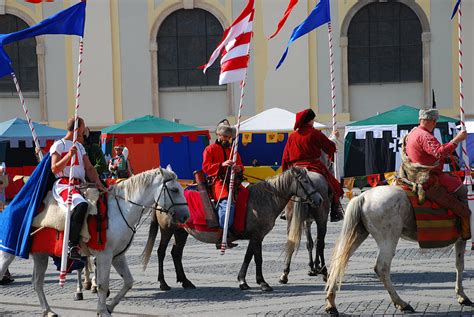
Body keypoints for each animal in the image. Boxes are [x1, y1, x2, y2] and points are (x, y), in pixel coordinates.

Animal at [0, 165, 189, 316]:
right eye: (174, 190)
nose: (186, 216)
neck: (121, 209)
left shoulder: (118, 256)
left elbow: (128, 282)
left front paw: (109, 307)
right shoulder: (105, 256)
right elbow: (103, 284)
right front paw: (102, 310)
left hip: (40, 255)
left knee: (37, 283)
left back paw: (48, 311)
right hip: (8, 252)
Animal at [141, 167, 324, 290]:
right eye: (305, 181)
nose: (319, 199)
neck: (264, 198)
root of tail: (159, 197)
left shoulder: (255, 236)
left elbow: (248, 257)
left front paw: (243, 280)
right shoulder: (257, 236)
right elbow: (258, 258)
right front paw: (262, 282)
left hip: (181, 232)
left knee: (176, 253)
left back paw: (186, 281)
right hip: (167, 230)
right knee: (161, 252)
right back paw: (163, 283)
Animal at [324, 185, 472, 314]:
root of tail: (363, 196)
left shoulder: (460, 240)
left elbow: (459, 265)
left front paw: (461, 295)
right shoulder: (462, 240)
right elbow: (460, 265)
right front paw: (463, 296)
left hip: (359, 234)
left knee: (339, 263)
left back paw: (331, 303)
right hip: (388, 238)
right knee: (382, 268)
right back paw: (402, 303)